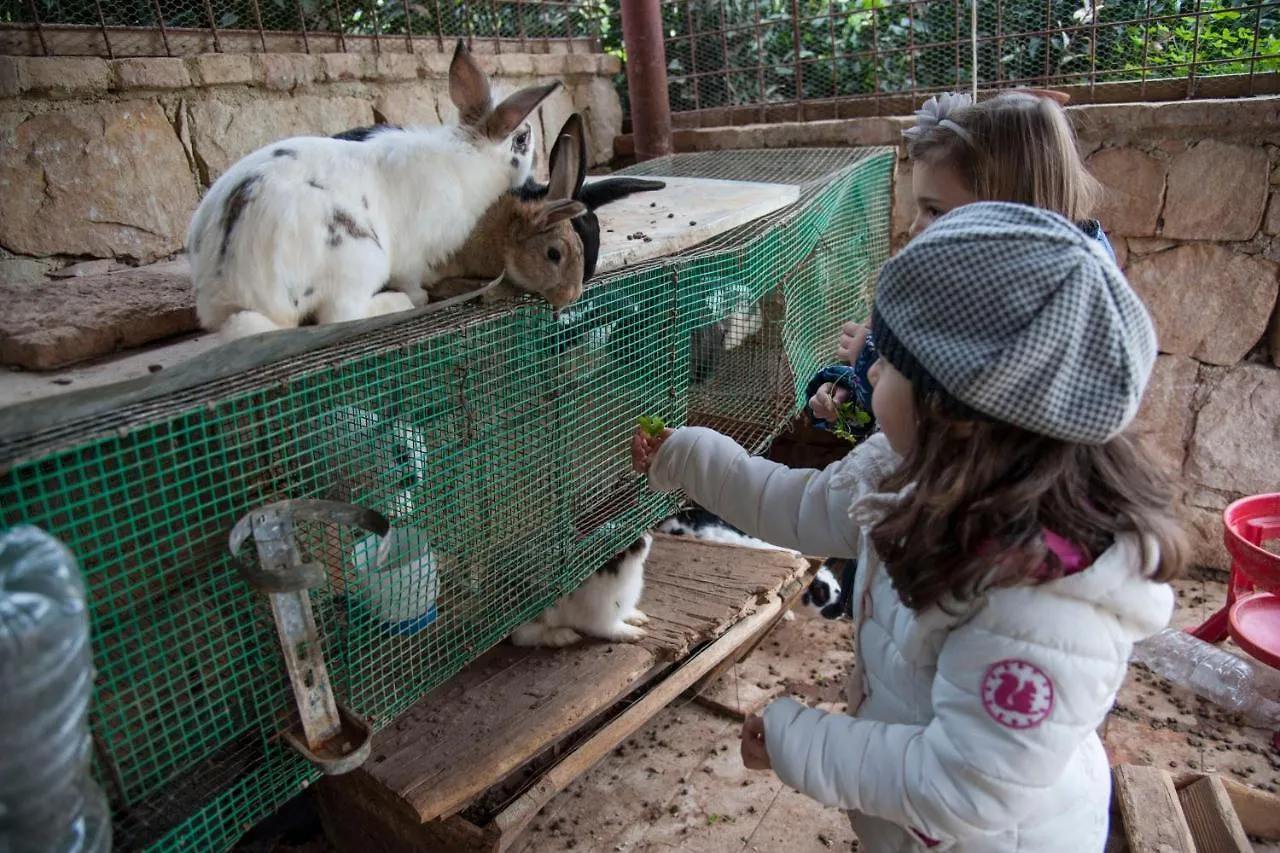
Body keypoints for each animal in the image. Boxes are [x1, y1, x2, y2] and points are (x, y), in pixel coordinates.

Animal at [186, 39, 560, 338]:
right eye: (523, 140)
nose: (535, 172)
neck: (472, 156)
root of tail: (240, 293)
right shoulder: (412, 252)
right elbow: (411, 274)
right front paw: (420, 293)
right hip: (360, 258)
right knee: (339, 315)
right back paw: (398, 302)